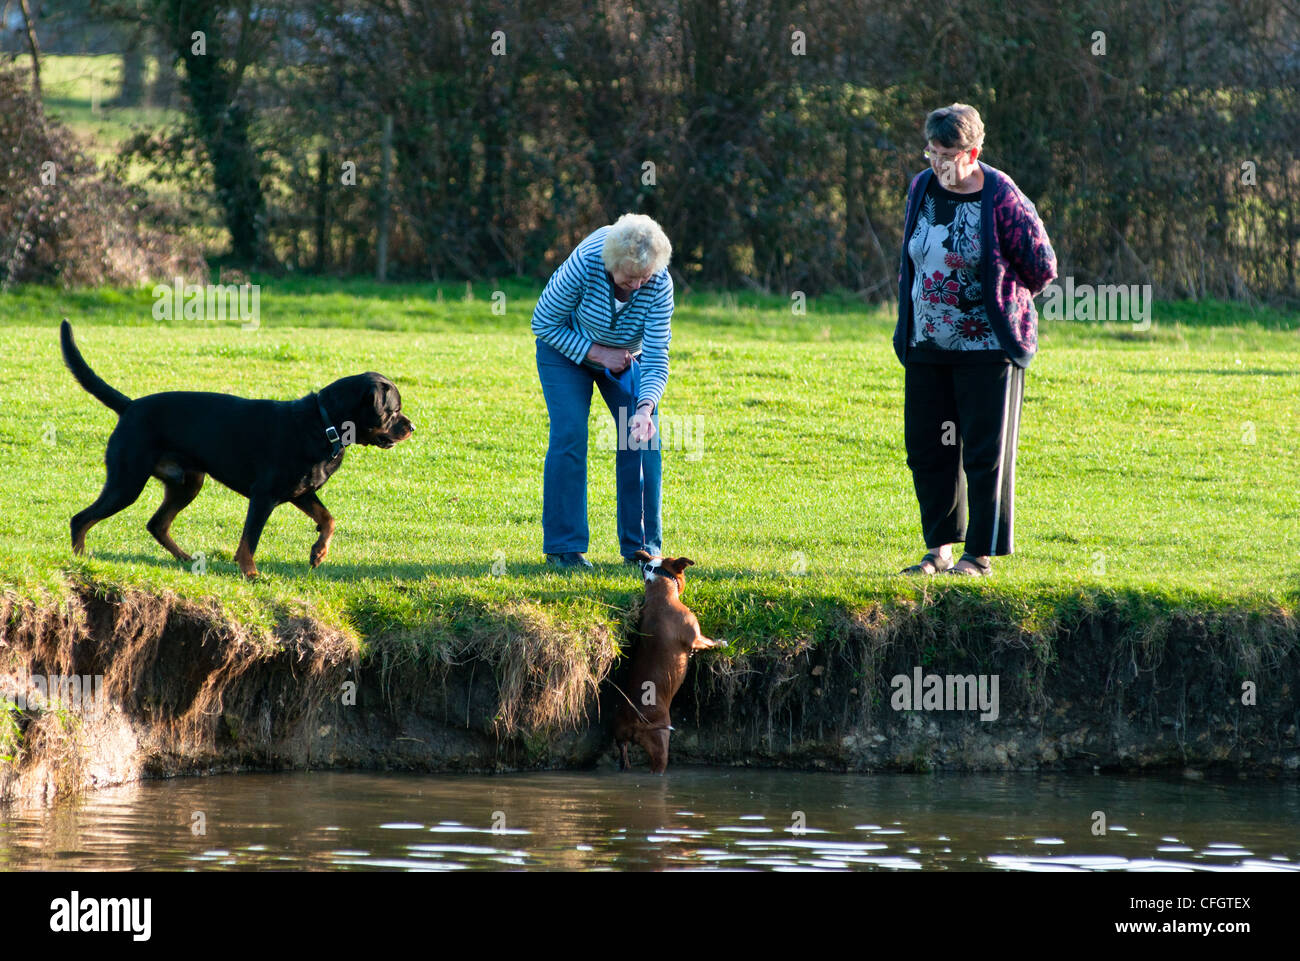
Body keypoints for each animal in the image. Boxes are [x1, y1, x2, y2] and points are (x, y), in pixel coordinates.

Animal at [58, 323, 413, 579]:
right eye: (394, 411)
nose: (412, 426)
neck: (324, 424)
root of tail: (130, 406)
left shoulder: (301, 492)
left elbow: (328, 519)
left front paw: (318, 552)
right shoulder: (263, 496)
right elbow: (249, 540)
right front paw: (250, 573)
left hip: (187, 483)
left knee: (156, 524)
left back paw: (185, 558)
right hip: (127, 482)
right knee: (80, 519)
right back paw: (81, 560)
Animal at [613, 548, 728, 775]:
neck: (660, 593)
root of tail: (631, 721)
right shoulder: (695, 638)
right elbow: (709, 642)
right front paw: (722, 642)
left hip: (621, 742)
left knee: (624, 759)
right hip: (659, 740)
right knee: (658, 764)